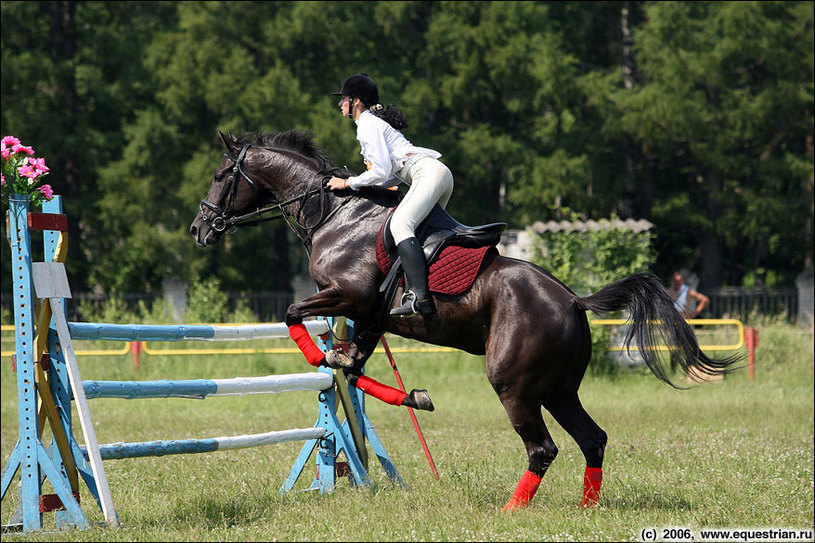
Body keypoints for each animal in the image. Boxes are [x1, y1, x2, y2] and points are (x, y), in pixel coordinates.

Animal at [190, 130, 740, 512]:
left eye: (220, 176)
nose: (200, 229)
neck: (334, 214)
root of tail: (571, 299)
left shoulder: (350, 296)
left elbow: (295, 316)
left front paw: (318, 355)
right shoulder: (370, 317)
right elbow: (353, 367)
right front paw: (408, 394)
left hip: (515, 384)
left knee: (542, 448)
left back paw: (510, 510)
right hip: (559, 388)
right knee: (592, 439)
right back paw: (587, 508)